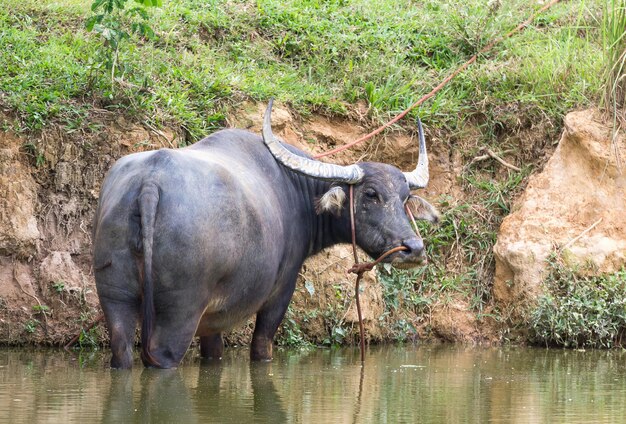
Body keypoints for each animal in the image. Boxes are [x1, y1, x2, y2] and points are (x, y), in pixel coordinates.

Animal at [92, 99, 436, 368]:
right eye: (371, 195)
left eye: (405, 197)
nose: (414, 249)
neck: (295, 190)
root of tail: (150, 182)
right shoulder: (279, 292)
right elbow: (262, 346)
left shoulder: (213, 319)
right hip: (180, 311)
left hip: (115, 296)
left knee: (122, 351)